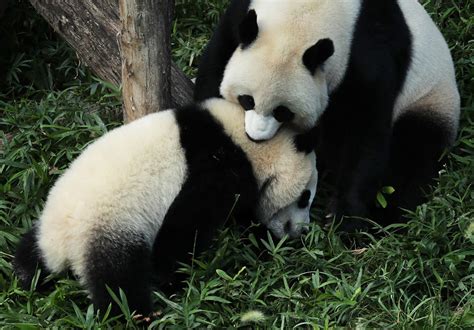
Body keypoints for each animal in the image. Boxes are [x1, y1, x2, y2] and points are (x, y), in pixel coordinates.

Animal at [13, 98, 318, 318]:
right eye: (305, 197)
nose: (301, 230)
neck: (247, 141)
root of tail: (62, 244)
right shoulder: (218, 165)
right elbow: (188, 222)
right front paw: (171, 280)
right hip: (111, 226)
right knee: (118, 282)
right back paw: (137, 316)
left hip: (49, 227)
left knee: (31, 252)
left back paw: (27, 276)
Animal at [193, 0, 460, 231]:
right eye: (246, 100)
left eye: (283, 112)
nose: (255, 137)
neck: (304, 13)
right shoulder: (241, 16)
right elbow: (216, 61)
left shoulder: (366, 49)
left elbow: (366, 127)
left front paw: (345, 217)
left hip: (428, 100)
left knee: (411, 154)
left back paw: (386, 218)